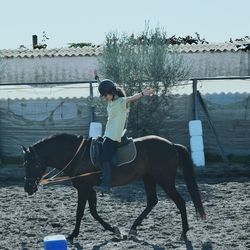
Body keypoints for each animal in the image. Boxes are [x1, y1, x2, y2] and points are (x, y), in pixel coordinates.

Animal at [21, 134, 206, 241]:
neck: (77, 155)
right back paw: (133, 229)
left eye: (33, 164)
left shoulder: (83, 188)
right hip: (149, 178)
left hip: (164, 180)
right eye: (24, 164)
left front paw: (73, 235)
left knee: (180, 202)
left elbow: (80, 212)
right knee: (152, 201)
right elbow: (93, 212)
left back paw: (184, 233)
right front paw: (113, 229)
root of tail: (171, 145)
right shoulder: (89, 189)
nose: (28, 188)